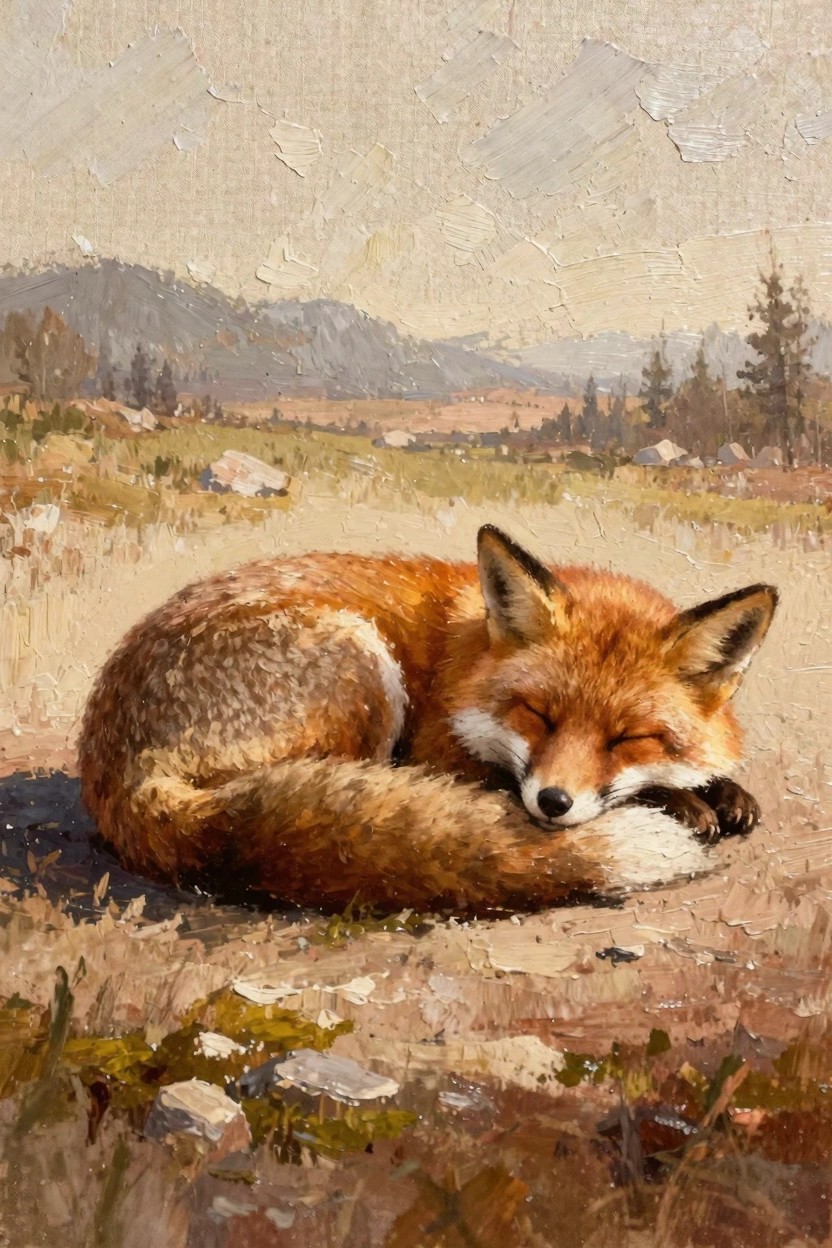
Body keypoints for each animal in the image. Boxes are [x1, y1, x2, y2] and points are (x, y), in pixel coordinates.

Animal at [77, 525, 777, 916]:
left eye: (627, 739)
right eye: (539, 714)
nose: (553, 803)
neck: (466, 656)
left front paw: (720, 792)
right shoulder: (437, 750)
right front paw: (683, 802)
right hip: (362, 667)